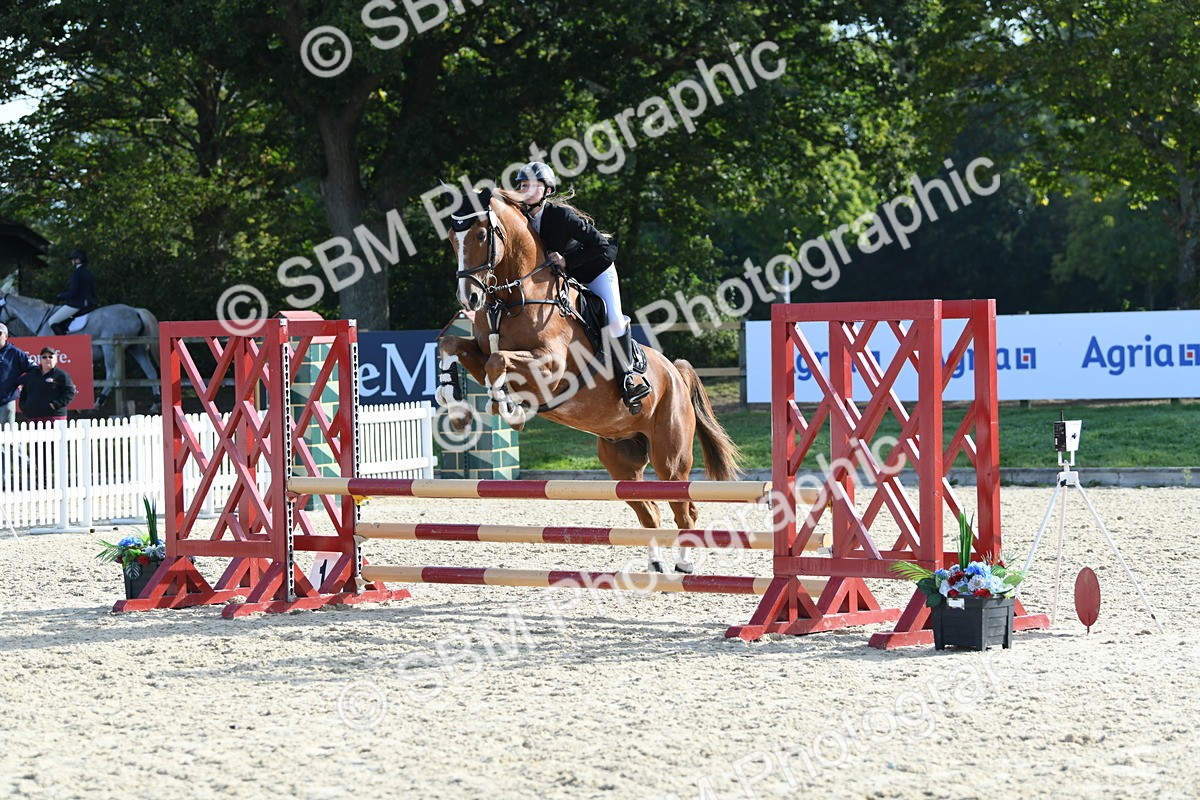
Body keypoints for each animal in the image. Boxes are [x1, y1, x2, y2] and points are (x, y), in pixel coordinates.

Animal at [0, 275, 161, 412]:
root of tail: (135, 310)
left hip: (109, 347)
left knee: (111, 375)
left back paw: (97, 403)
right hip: (137, 348)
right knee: (151, 372)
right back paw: (155, 404)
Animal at [436, 188, 742, 573]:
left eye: (480, 235)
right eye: (451, 237)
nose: (470, 298)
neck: (513, 298)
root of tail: (675, 373)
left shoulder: (551, 367)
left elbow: (498, 360)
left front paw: (511, 411)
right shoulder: (479, 354)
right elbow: (454, 345)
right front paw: (455, 403)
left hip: (671, 458)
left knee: (684, 509)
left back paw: (684, 566)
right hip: (620, 461)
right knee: (650, 512)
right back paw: (656, 565)